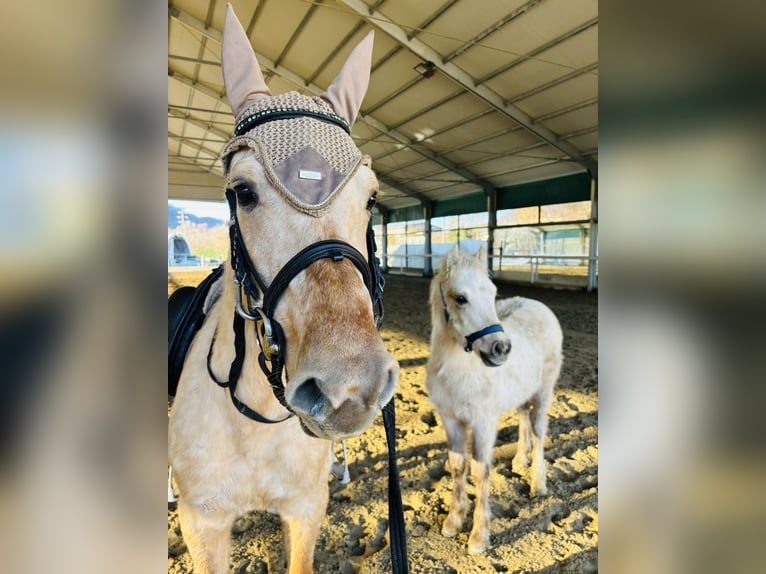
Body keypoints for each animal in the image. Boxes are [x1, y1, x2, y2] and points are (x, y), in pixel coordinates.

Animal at [168, 6, 399, 573]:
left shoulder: (307, 507)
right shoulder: (201, 525)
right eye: (242, 191)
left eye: (371, 198)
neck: (258, 420)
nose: (348, 388)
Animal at [425, 246, 563, 554]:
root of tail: (538, 305)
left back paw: (538, 483)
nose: (501, 348)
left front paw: (478, 537)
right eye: (460, 298)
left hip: (543, 393)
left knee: (538, 431)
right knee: (523, 417)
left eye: (493, 291)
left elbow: (480, 471)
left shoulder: (484, 423)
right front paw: (453, 522)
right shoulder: (450, 420)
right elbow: (457, 466)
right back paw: (519, 460)